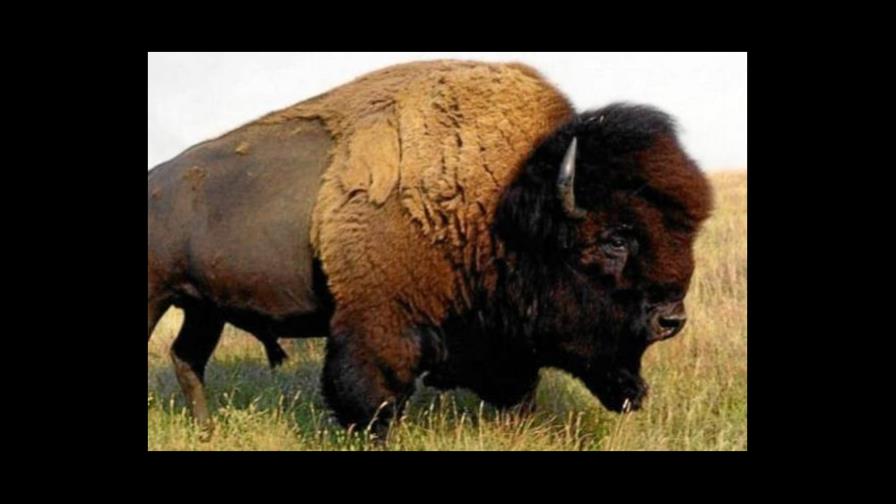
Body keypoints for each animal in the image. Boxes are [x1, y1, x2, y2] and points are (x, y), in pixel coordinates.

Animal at [147, 60, 712, 438]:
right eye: (615, 238)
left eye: (684, 235)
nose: (671, 319)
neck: (502, 203)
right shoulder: (376, 328)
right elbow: (371, 400)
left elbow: (519, 389)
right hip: (158, 298)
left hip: (203, 308)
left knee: (187, 358)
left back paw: (206, 431)